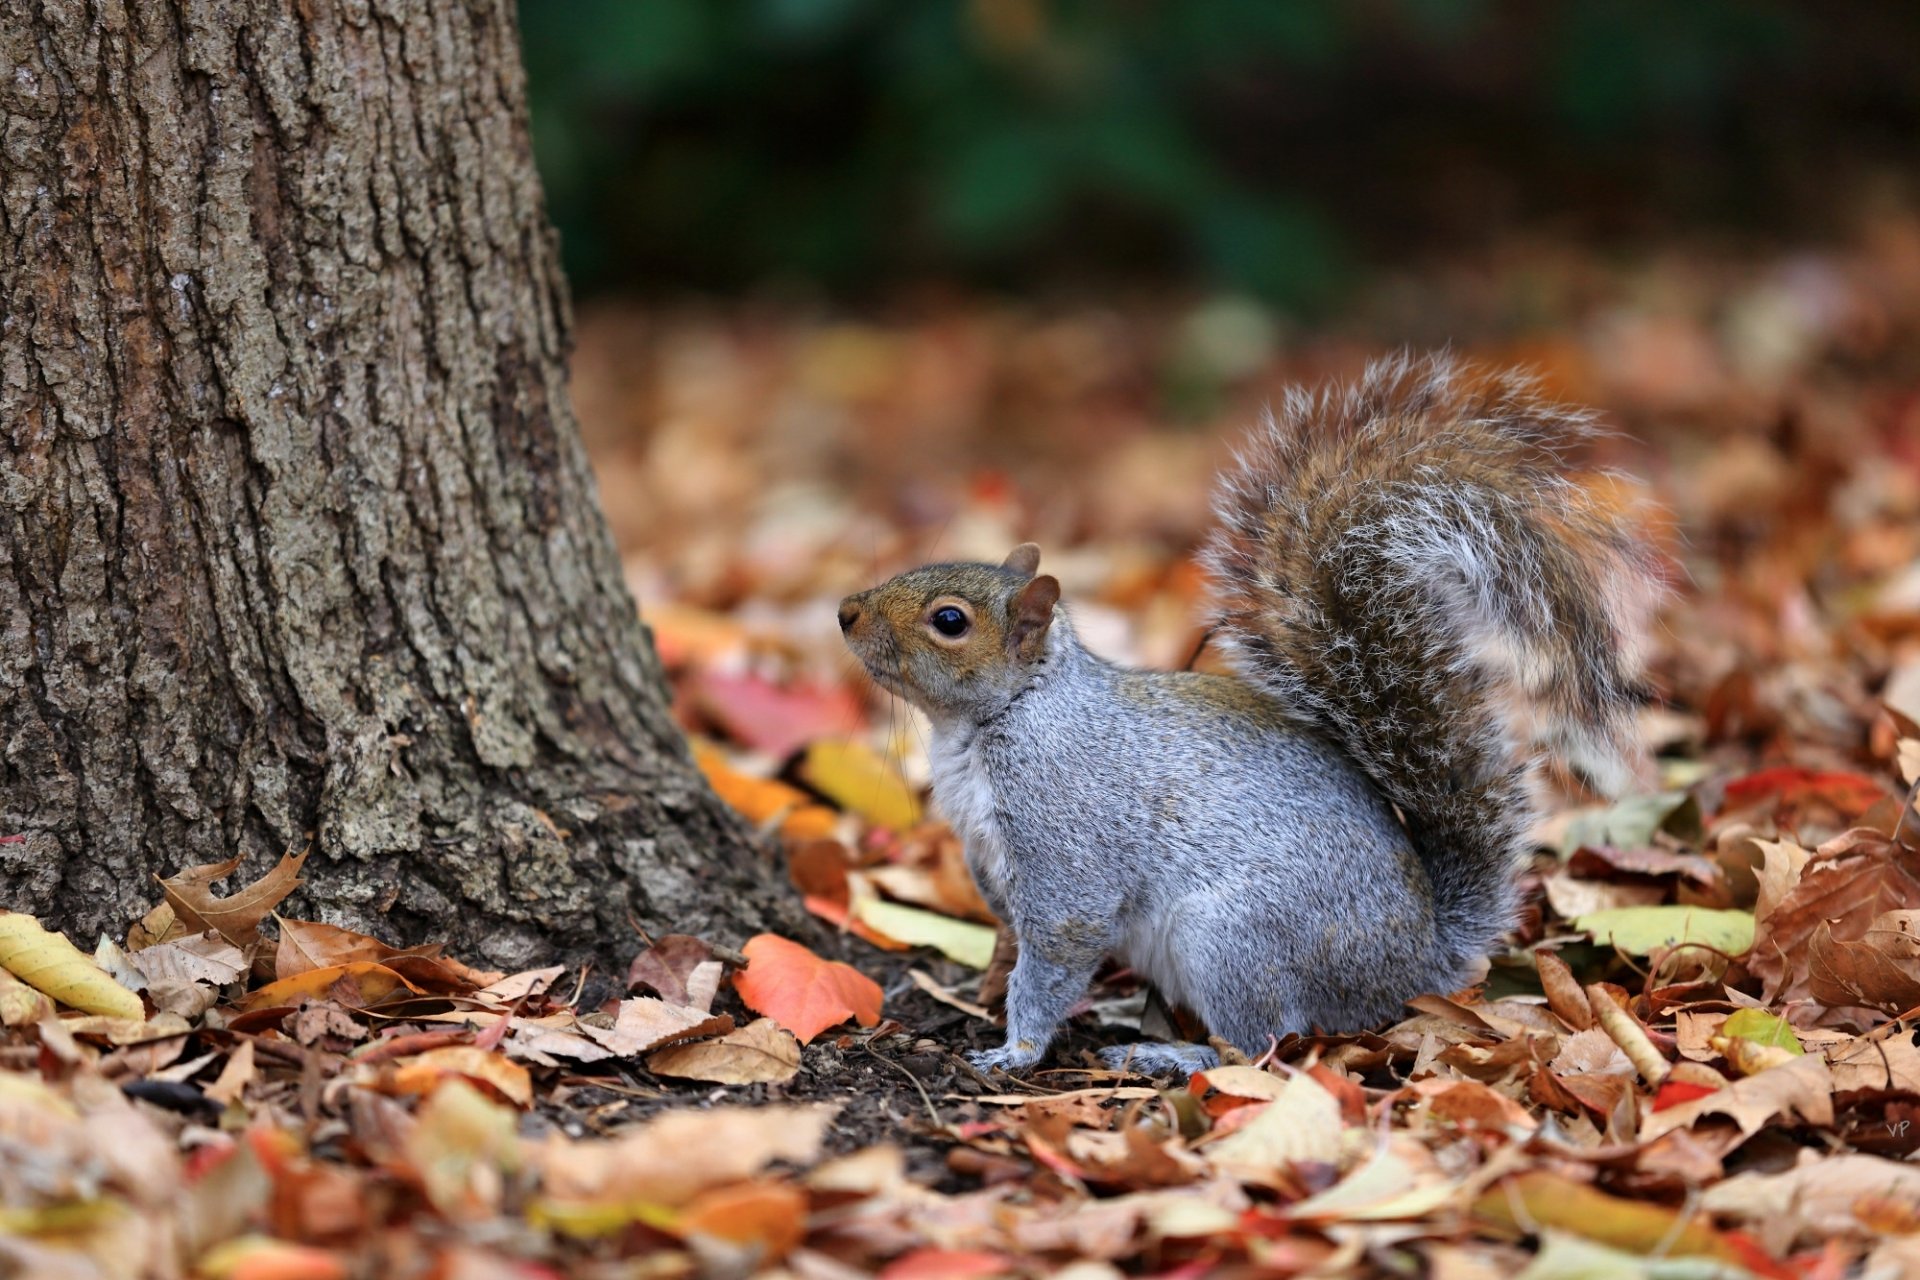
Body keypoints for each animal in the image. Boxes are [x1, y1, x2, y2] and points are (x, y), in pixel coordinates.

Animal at [837, 354, 1662, 1075]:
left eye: (949, 621)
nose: (845, 612)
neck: (996, 720)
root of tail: (1416, 963)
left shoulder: (1066, 828)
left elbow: (1063, 939)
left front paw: (1018, 1047)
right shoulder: (985, 851)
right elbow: (1014, 929)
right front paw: (989, 984)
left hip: (1232, 941)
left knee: (1268, 1039)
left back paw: (1173, 1055)